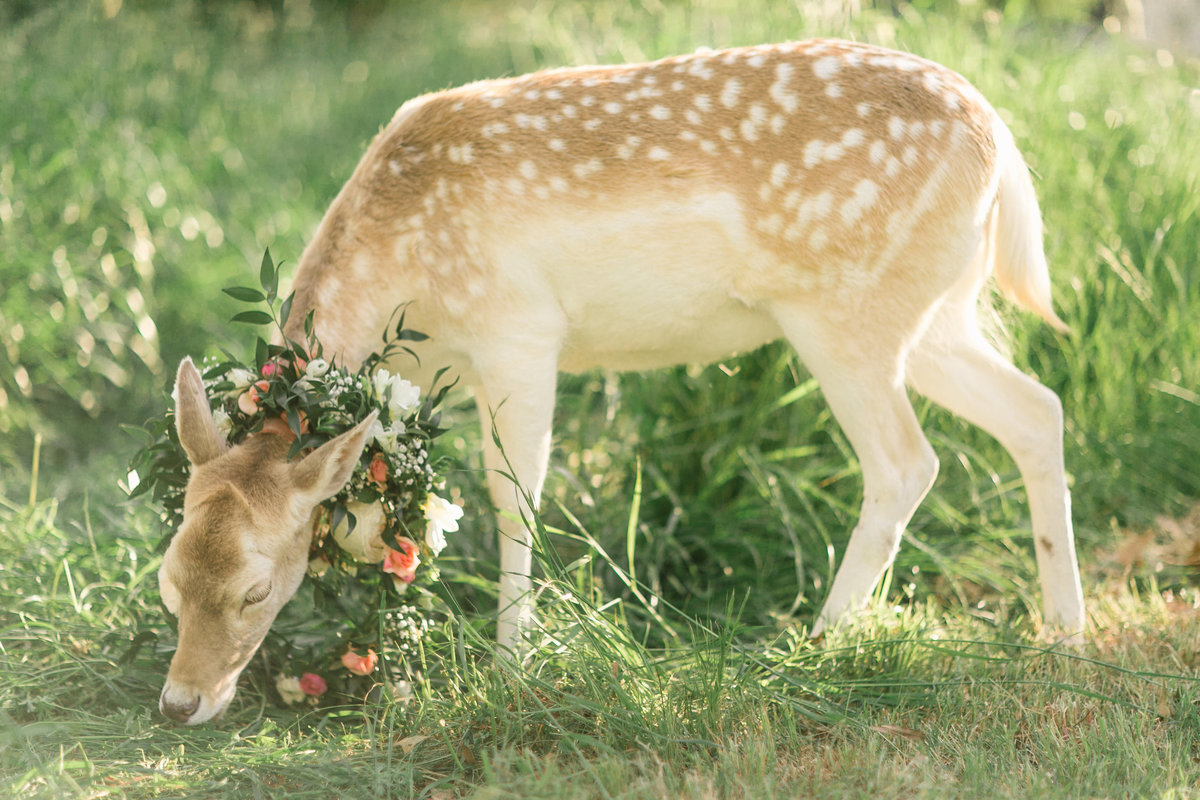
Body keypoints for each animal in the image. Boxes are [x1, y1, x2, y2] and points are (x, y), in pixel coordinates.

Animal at [159, 38, 1089, 724]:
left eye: (254, 588)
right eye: (169, 577)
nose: (179, 703)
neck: (400, 276)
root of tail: (1002, 145)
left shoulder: (520, 331)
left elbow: (515, 497)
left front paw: (510, 667)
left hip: (843, 315)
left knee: (906, 462)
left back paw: (812, 649)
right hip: (935, 314)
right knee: (1036, 409)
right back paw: (1066, 635)